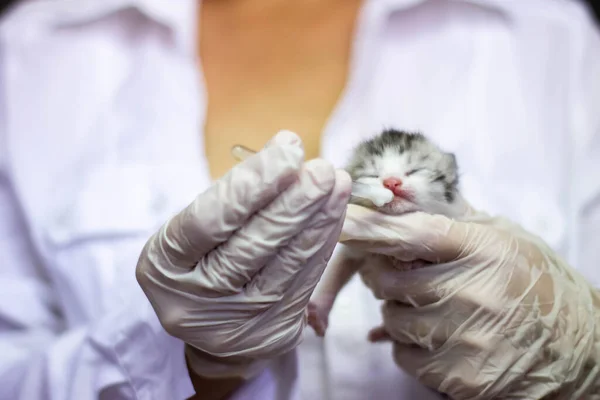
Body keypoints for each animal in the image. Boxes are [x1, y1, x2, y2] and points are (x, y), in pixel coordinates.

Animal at [308, 128, 466, 338]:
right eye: (373, 175)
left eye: (415, 171)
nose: (391, 182)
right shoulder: (355, 250)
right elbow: (338, 269)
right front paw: (318, 312)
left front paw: (408, 261)